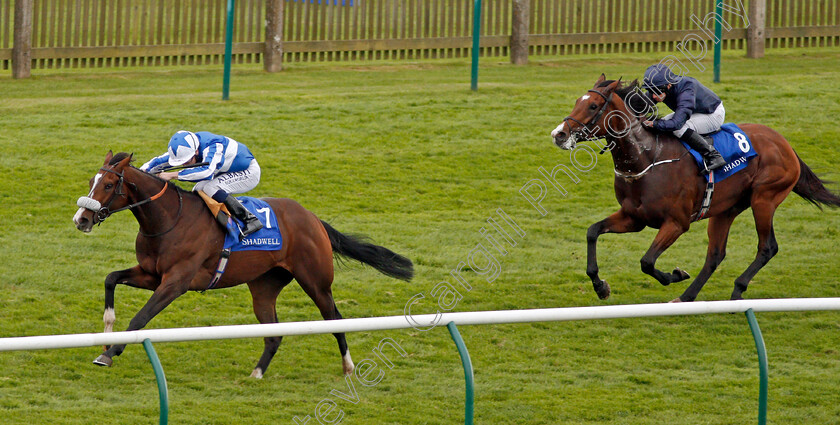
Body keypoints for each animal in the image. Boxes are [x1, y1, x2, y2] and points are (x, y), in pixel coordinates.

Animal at [72, 151, 414, 376]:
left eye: (107, 185)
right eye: (90, 181)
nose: (81, 219)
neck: (169, 219)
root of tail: (313, 218)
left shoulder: (175, 282)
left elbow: (140, 319)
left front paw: (109, 354)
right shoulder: (150, 274)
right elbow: (111, 278)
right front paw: (106, 331)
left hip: (316, 281)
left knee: (335, 319)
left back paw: (348, 366)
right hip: (264, 286)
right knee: (274, 334)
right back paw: (257, 373)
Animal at [552, 75, 840, 302]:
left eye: (592, 105)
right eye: (577, 101)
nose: (559, 134)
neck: (647, 159)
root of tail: (785, 144)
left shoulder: (677, 223)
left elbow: (647, 262)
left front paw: (675, 274)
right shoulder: (634, 218)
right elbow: (592, 232)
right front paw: (600, 286)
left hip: (764, 199)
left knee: (767, 247)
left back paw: (737, 290)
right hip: (726, 209)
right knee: (715, 255)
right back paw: (687, 296)